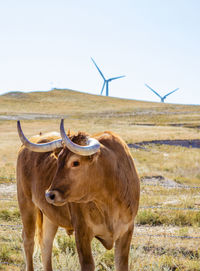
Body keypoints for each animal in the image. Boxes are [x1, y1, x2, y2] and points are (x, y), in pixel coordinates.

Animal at [16, 119, 139, 271]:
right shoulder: (82, 232)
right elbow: (88, 264)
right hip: (26, 203)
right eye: (58, 160)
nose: (49, 195)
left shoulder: (126, 231)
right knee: (28, 241)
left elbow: (121, 264)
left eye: (75, 162)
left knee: (46, 244)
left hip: (50, 215)